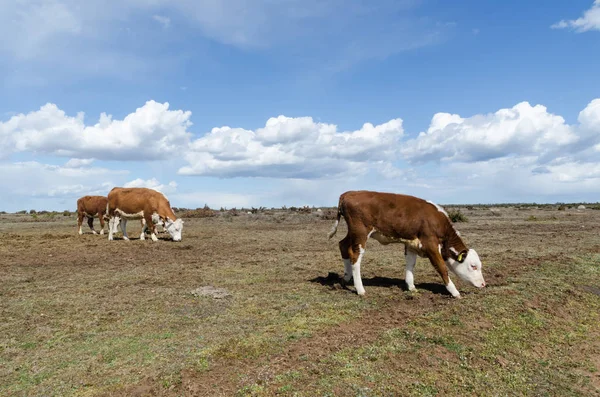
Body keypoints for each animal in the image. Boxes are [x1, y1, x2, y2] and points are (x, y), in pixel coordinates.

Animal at [326, 190, 486, 298]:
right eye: (473, 266)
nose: (484, 284)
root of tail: (348, 193)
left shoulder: (412, 244)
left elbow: (410, 264)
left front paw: (411, 286)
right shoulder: (431, 245)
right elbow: (442, 268)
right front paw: (454, 292)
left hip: (353, 233)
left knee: (342, 245)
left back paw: (345, 278)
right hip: (360, 233)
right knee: (355, 256)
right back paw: (360, 289)